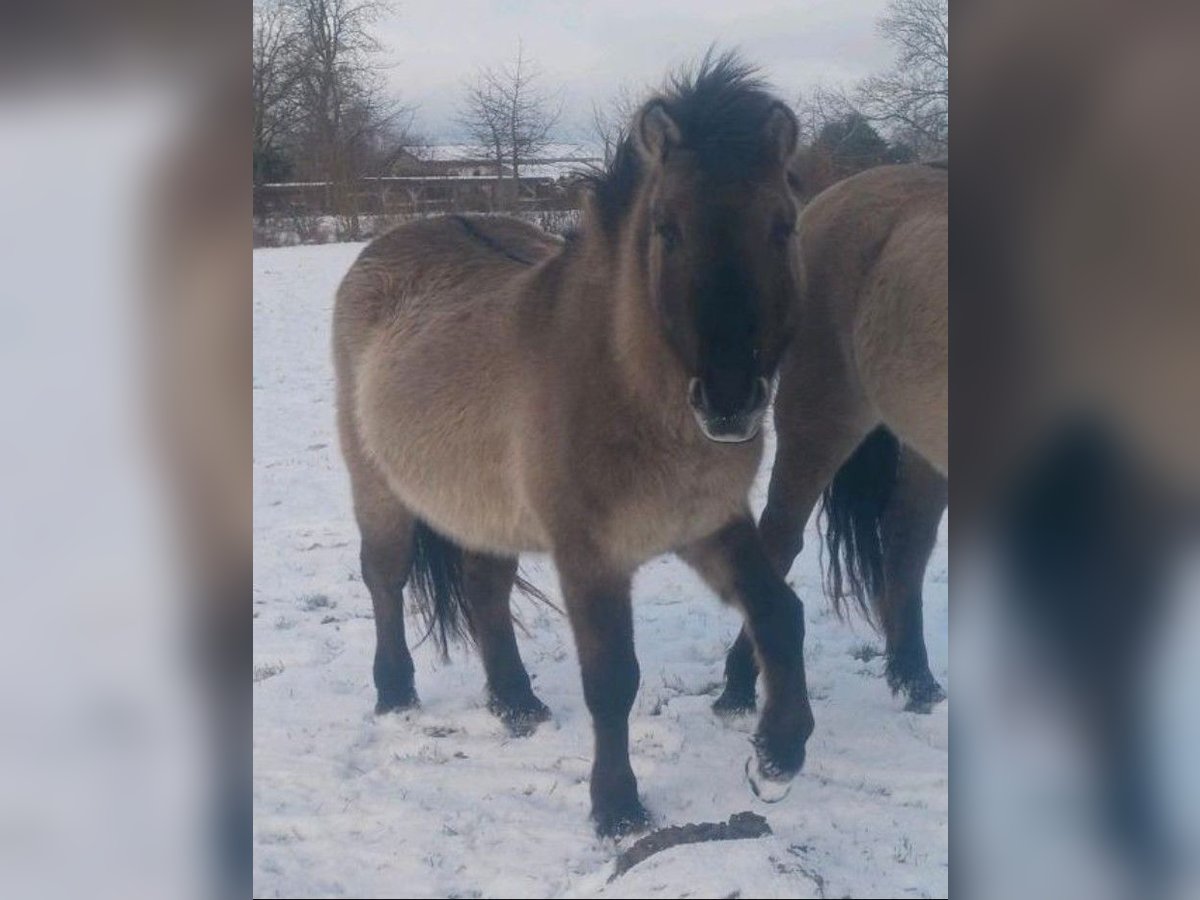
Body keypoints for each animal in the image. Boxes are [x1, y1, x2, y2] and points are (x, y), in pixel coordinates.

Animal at [333, 52, 811, 835]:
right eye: (666, 229)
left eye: (782, 225)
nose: (730, 398)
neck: (630, 391)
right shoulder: (591, 556)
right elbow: (612, 678)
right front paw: (616, 807)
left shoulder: (710, 523)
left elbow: (779, 611)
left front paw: (780, 748)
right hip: (377, 488)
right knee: (385, 578)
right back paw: (396, 691)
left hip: (484, 509)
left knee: (483, 588)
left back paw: (515, 703)